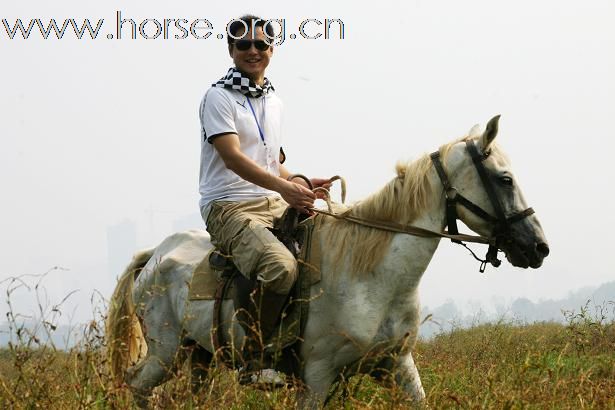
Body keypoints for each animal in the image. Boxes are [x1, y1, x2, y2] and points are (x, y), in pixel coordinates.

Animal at [104, 115, 548, 406]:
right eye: (505, 179)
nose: (539, 247)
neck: (371, 278)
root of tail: (157, 254)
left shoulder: (398, 366)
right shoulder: (316, 378)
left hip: (197, 355)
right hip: (164, 352)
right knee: (136, 386)